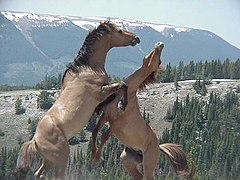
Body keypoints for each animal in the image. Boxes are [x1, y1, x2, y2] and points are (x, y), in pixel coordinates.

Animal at [15, 20, 140, 179]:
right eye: (119, 31)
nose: (136, 38)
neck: (88, 68)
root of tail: (35, 140)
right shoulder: (100, 92)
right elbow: (122, 85)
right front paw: (123, 104)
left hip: (49, 160)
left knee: (39, 174)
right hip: (62, 158)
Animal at [91, 41, 192, 180]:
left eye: (159, 60)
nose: (160, 44)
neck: (128, 94)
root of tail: (159, 147)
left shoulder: (116, 124)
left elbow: (104, 137)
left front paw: (96, 158)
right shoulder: (106, 117)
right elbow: (95, 131)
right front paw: (93, 154)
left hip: (148, 163)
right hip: (127, 159)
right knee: (138, 176)